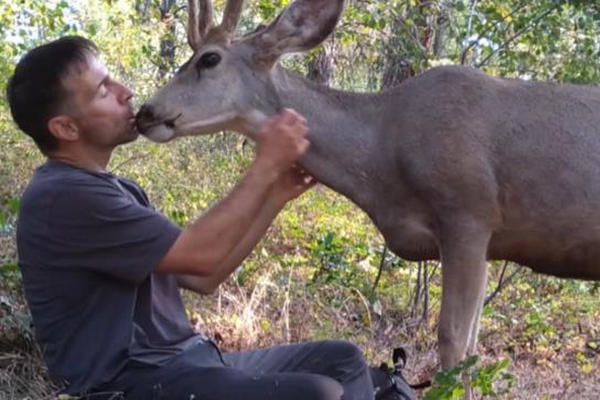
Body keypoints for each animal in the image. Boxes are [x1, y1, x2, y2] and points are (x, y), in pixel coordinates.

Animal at [136, 0, 600, 390]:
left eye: (209, 59)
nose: (145, 112)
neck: (383, 153)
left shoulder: (468, 213)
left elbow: (454, 342)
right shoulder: (482, 240)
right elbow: (470, 342)